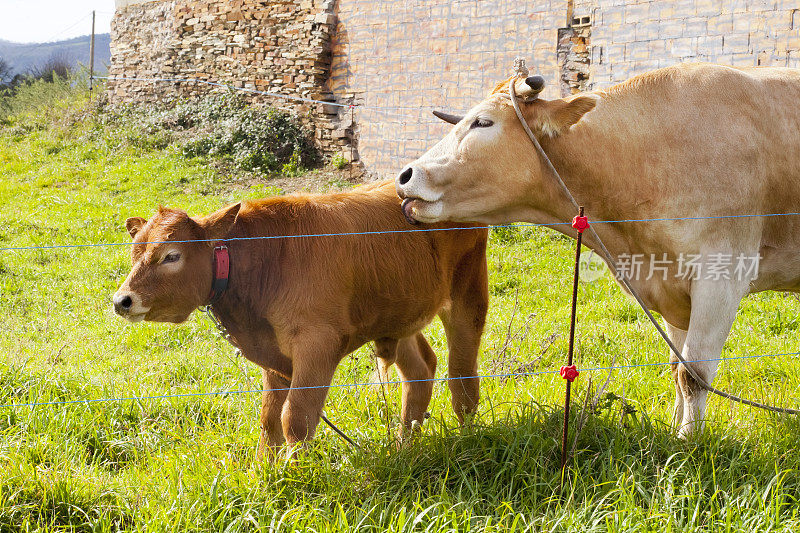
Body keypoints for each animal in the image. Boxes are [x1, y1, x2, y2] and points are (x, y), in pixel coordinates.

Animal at [112, 181, 488, 456]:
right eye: (133, 252)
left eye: (171, 256)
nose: (121, 300)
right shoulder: (272, 353)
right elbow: (268, 418)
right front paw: (265, 471)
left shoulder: (317, 344)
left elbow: (295, 418)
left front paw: (297, 475)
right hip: (398, 313)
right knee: (420, 372)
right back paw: (404, 449)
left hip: (468, 293)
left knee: (462, 375)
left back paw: (468, 439)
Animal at [396, 62, 800, 436]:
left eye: (483, 123)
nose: (404, 176)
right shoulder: (673, 287)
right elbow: (676, 367)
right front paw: (673, 431)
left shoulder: (723, 276)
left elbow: (694, 373)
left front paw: (689, 440)